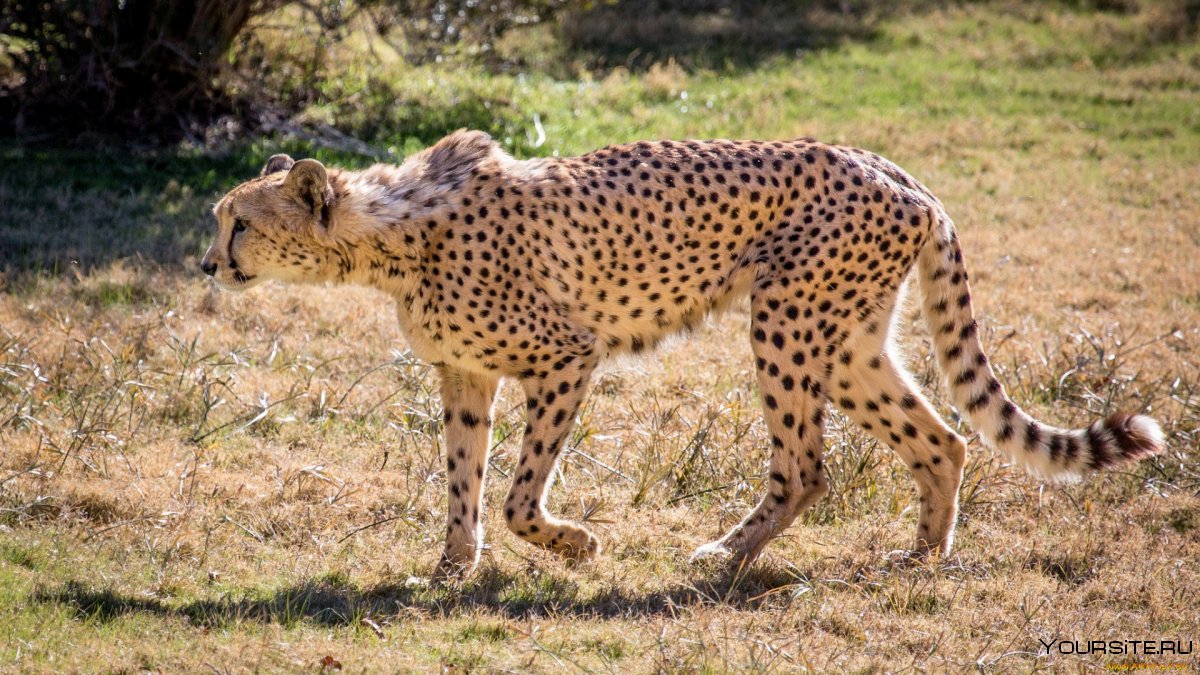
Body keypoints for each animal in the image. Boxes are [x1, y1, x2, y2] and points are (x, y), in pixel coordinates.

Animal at [201, 130, 1166, 578]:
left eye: (239, 222)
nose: (208, 264)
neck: (389, 236)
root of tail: (895, 171)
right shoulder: (465, 373)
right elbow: (461, 481)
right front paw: (447, 569)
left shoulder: (568, 354)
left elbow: (517, 494)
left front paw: (573, 543)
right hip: (847, 341)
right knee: (945, 439)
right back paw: (920, 557)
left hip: (785, 320)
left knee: (806, 465)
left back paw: (724, 555)